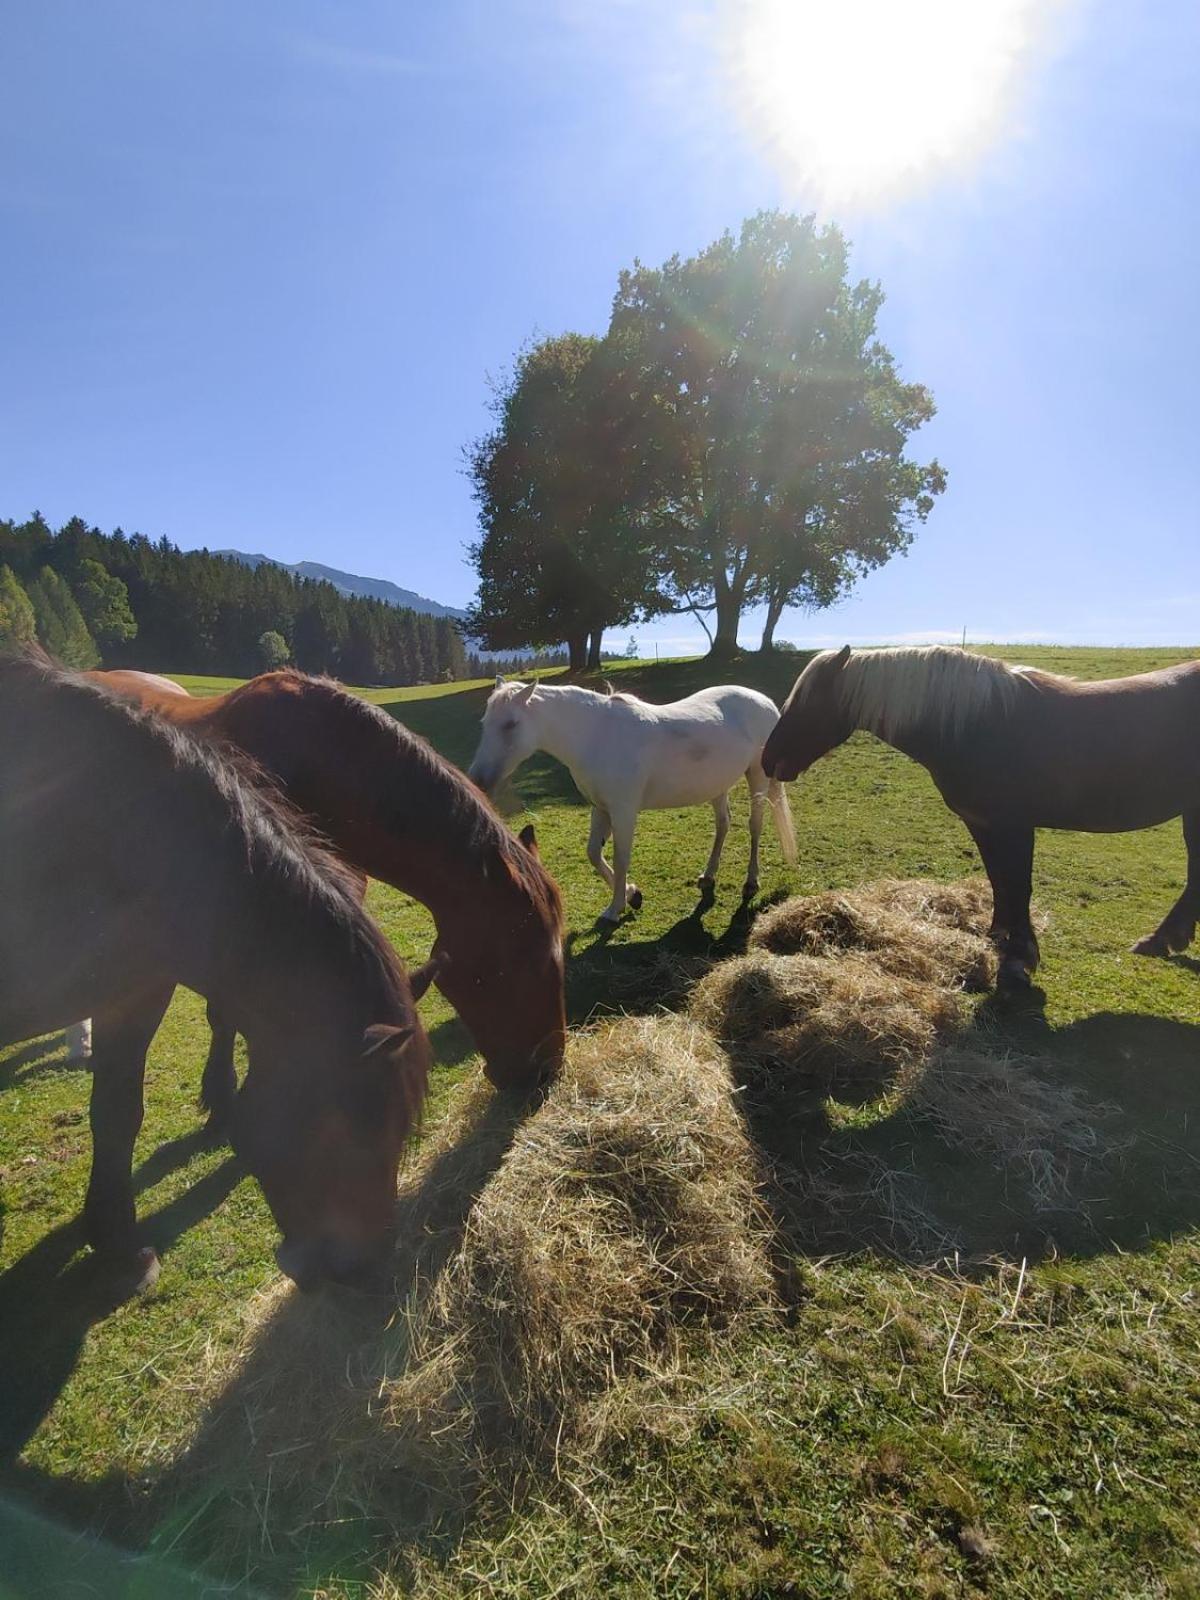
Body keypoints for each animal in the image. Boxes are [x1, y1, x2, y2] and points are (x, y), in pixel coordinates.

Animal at [470, 678, 800, 928]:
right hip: (718, 786)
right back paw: (708, 876)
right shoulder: (600, 808)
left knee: (755, 825)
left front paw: (614, 910)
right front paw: (632, 894)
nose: (478, 780)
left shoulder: (623, 811)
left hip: (758, 777)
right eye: (485, 723)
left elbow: (620, 858)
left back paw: (751, 882)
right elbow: (593, 854)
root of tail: (764, 701)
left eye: (510, 724)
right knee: (723, 824)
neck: (597, 736)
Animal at [764, 646, 1200, 985]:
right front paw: (996, 938)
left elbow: (1019, 885)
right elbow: (999, 882)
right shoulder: (983, 824)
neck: (978, 725)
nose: (769, 760)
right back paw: (1164, 940)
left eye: (808, 703)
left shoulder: (1014, 826)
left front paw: (1021, 958)